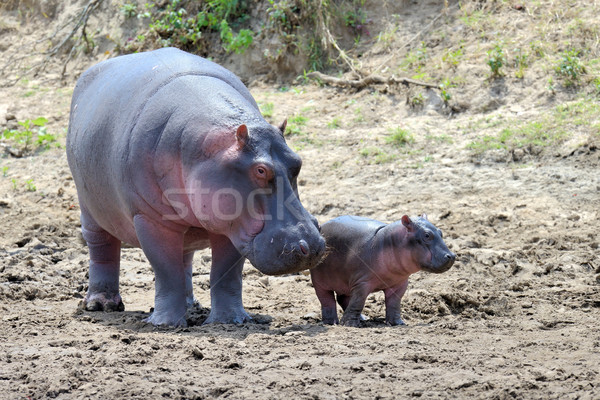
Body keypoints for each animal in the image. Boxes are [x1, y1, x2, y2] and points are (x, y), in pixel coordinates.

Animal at [67, 48, 324, 326]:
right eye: (260, 170)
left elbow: (225, 274)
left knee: (184, 257)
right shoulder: (151, 218)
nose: (312, 245)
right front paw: (164, 324)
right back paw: (101, 305)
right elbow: (166, 270)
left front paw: (231, 321)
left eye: (297, 161)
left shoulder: (233, 225)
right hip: (89, 207)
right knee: (102, 249)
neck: (209, 149)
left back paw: (191, 306)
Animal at [312, 214, 458, 326]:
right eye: (427, 235)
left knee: (343, 299)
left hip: (345, 282)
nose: (451, 256)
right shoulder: (362, 283)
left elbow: (394, 303)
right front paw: (349, 325)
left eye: (440, 232)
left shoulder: (399, 283)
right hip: (320, 283)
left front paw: (398, 323)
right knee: (327, 301)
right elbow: (358, 302)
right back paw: (331, 322)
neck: (391, 241)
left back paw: (363, 318)